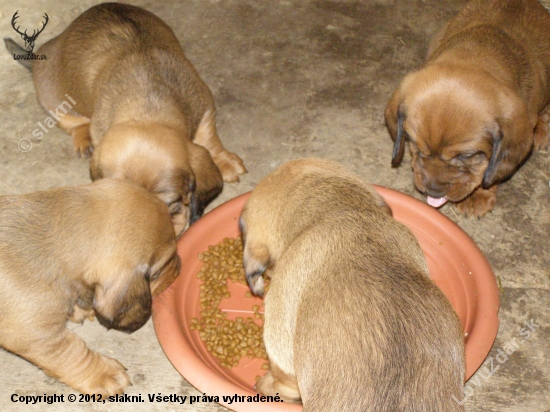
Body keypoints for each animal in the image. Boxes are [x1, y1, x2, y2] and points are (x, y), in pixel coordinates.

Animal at [28, 2, 247, 235]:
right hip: (54, 102)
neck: (148, 109)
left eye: (170, 204)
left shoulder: (204, 106)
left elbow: (209, 139)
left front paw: (225, 163)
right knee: (74, 122)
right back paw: (82, 138)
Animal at [386, 0, 550, 217]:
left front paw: (479, 195)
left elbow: (490, 171)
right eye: (417, 147)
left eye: (465, 156)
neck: (474, 57)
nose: (433, 192)